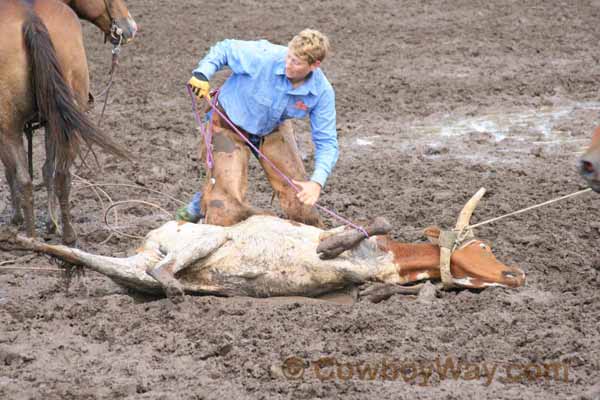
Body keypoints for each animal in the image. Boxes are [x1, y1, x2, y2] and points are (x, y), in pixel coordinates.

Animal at [0, 0, 137, 244]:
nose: (131, 28)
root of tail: (31, 19)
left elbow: (11, 172)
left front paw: (17, 218)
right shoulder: (51, 123)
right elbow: (47, 170)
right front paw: (50, 224)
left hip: (9, 129)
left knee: (24, 178)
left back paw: (31, 237)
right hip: (64, 124)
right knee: (61, 175)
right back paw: (67, 235)